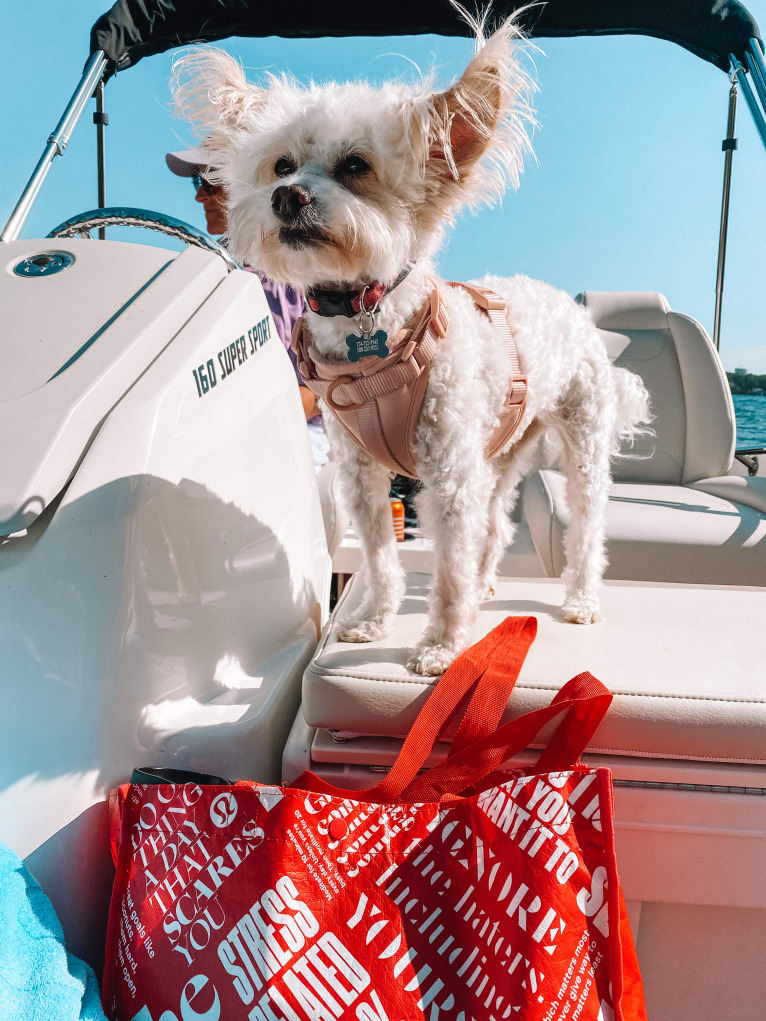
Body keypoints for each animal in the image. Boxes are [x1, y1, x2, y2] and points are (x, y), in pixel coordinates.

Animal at [175, 11, 653, 677]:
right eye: (281, 165)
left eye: (356, 165)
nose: (288, 196)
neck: (368, 325)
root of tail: (569, 307)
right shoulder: (360, 475)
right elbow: (379, 558)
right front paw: (376, 621)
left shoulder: (448, 475)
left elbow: (447, 570)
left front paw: (443, 647)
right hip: (500, 451)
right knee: (496, 525)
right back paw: (486, 584)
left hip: (579, 442)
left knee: (585, 529)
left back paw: (581, 600)